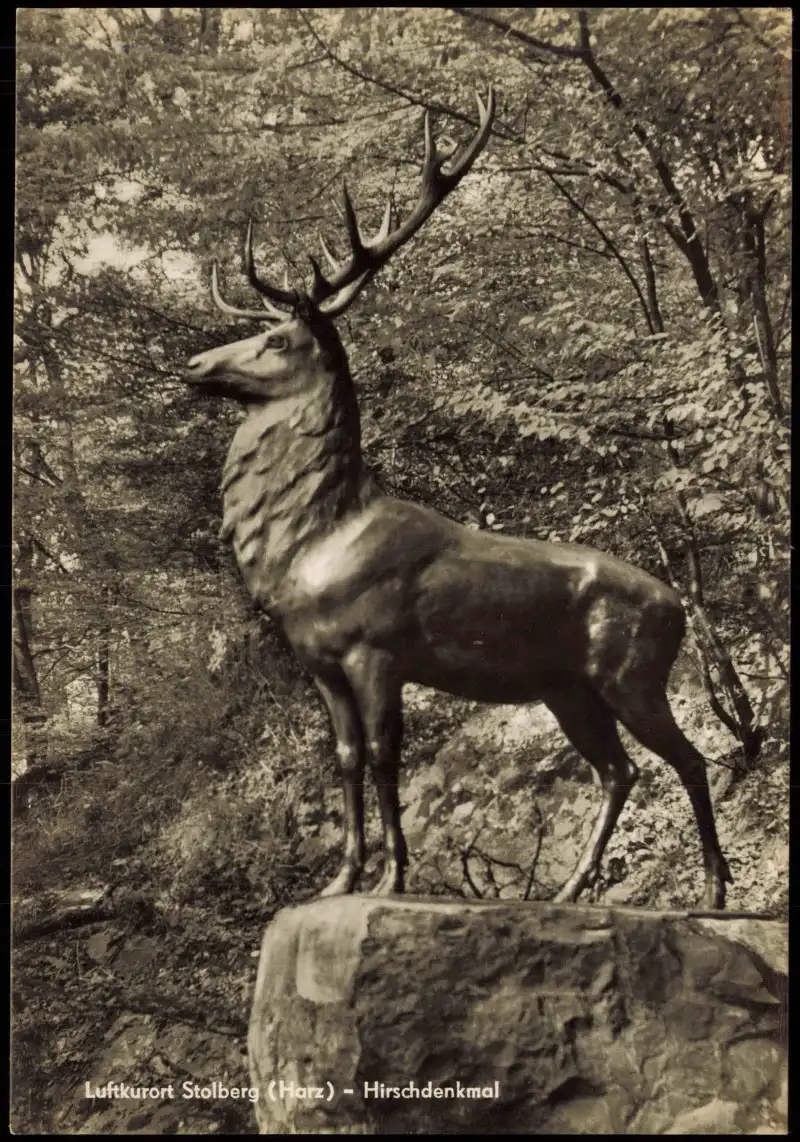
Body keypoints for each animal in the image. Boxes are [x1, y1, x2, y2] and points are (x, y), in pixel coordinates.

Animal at [185, 88, 732, 910]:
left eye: (279, 340)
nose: (195, 364)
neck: (307, 547)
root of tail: (679, 606)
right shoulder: (319, 660)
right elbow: (345, 757)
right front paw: (338, 880)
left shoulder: (377, 648)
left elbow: (386, 755)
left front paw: (392, 878)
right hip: (568, 690)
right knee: (619, 770)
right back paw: (567, 893)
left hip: (632, 673)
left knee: (692, 759)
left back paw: (714, 893)